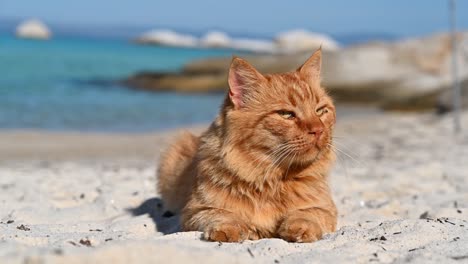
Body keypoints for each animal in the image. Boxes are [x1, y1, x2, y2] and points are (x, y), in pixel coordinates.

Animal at [157, 48, 336, 242]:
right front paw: (230, 228)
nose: (318, 130)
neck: (272, 179)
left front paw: (300, 226)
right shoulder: (196, 210)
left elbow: (307, 213)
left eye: (320, 111)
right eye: (286, 114)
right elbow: (222, 215)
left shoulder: (326, 208)